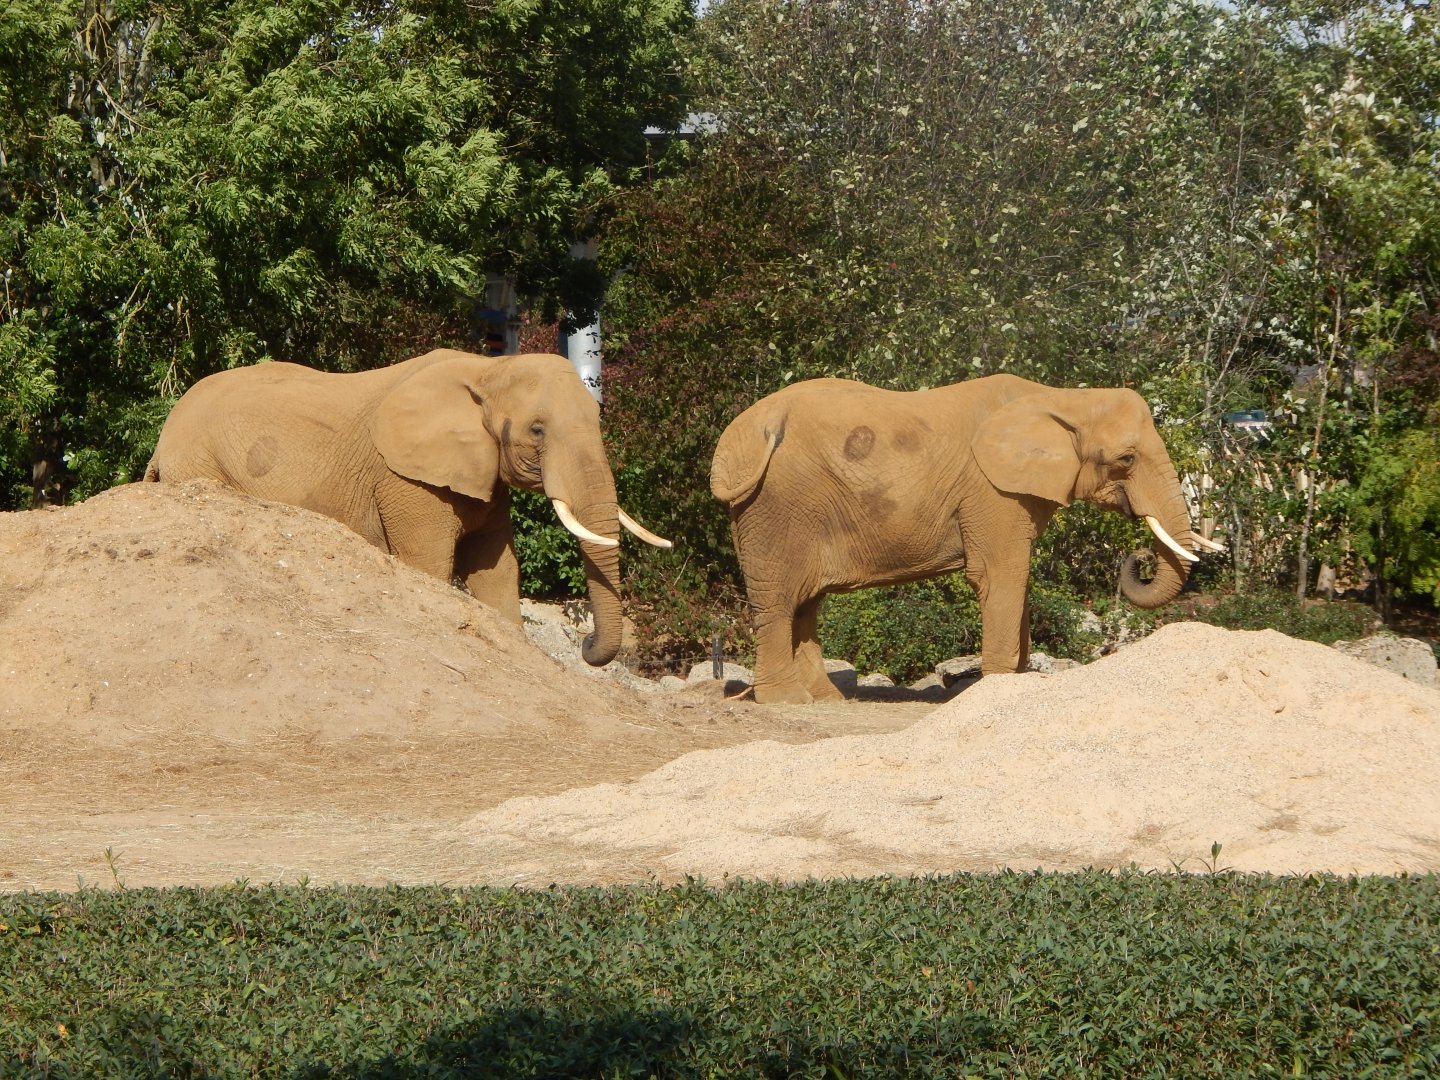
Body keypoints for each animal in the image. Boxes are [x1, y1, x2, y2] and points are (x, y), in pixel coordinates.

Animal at [145, 349, 670, 667]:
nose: (583, 644)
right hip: (199, 464)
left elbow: (496, 570)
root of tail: (164, 433)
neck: (487, 368)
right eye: (538, 430)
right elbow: (431, 565)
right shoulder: (407, 482)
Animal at [710, 373, 1223, 703]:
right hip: (773, 506)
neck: (1062, 399)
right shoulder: (990, 490)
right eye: (1126, 459)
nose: (1139, 556)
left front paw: (1014, 682)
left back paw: (826, 700)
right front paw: (997, 686)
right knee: (779, 600)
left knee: (806, 605)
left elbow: (1018, 577)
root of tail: (745, 430)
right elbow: (1000, 575)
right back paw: (787, 701)